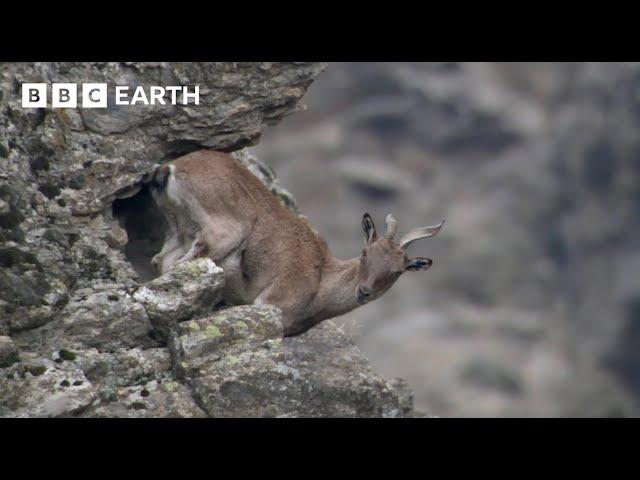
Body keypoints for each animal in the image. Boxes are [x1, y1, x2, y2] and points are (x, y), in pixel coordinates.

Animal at [148, 152, 442, 336]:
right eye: (365, 252)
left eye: (398, 270)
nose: (364, 291)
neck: (321, 280)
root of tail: (171, 169)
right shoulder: (271, 302)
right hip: (221, 234)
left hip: (179, 229)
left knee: (162, 260)